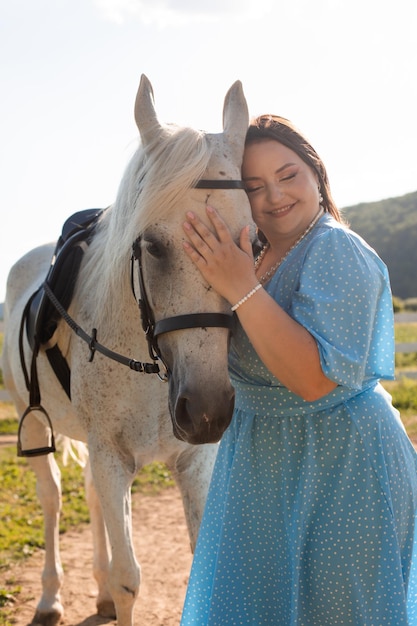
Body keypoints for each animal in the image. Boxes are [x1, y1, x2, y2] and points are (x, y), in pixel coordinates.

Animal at [1, 74, 252, 624]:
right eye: (152, 244)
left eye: (255, 243)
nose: (206, 409)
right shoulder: (112, 455)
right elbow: (128, 579)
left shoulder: (193, 460)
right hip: (38, 426)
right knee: (52, 498)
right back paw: (51, 597)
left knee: (91, 496)